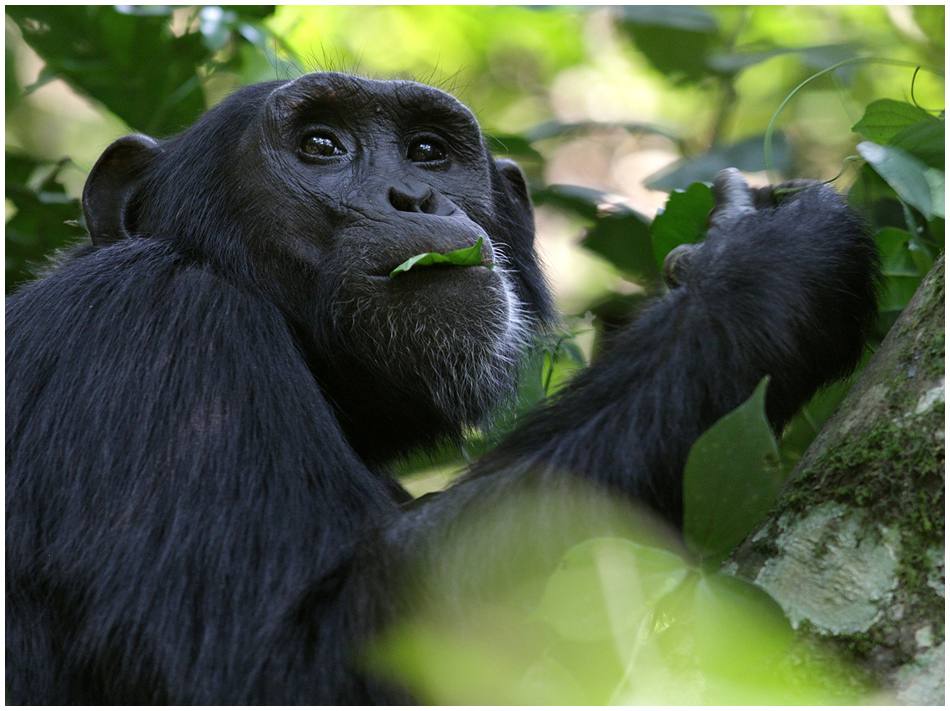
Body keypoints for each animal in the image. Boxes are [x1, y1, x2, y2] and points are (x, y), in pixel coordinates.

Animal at [5, 72, 884, 708]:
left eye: (427, 150)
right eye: (320, 144)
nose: (415, 196)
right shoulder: (157, 330)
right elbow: (270, 660)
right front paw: (761, 264)